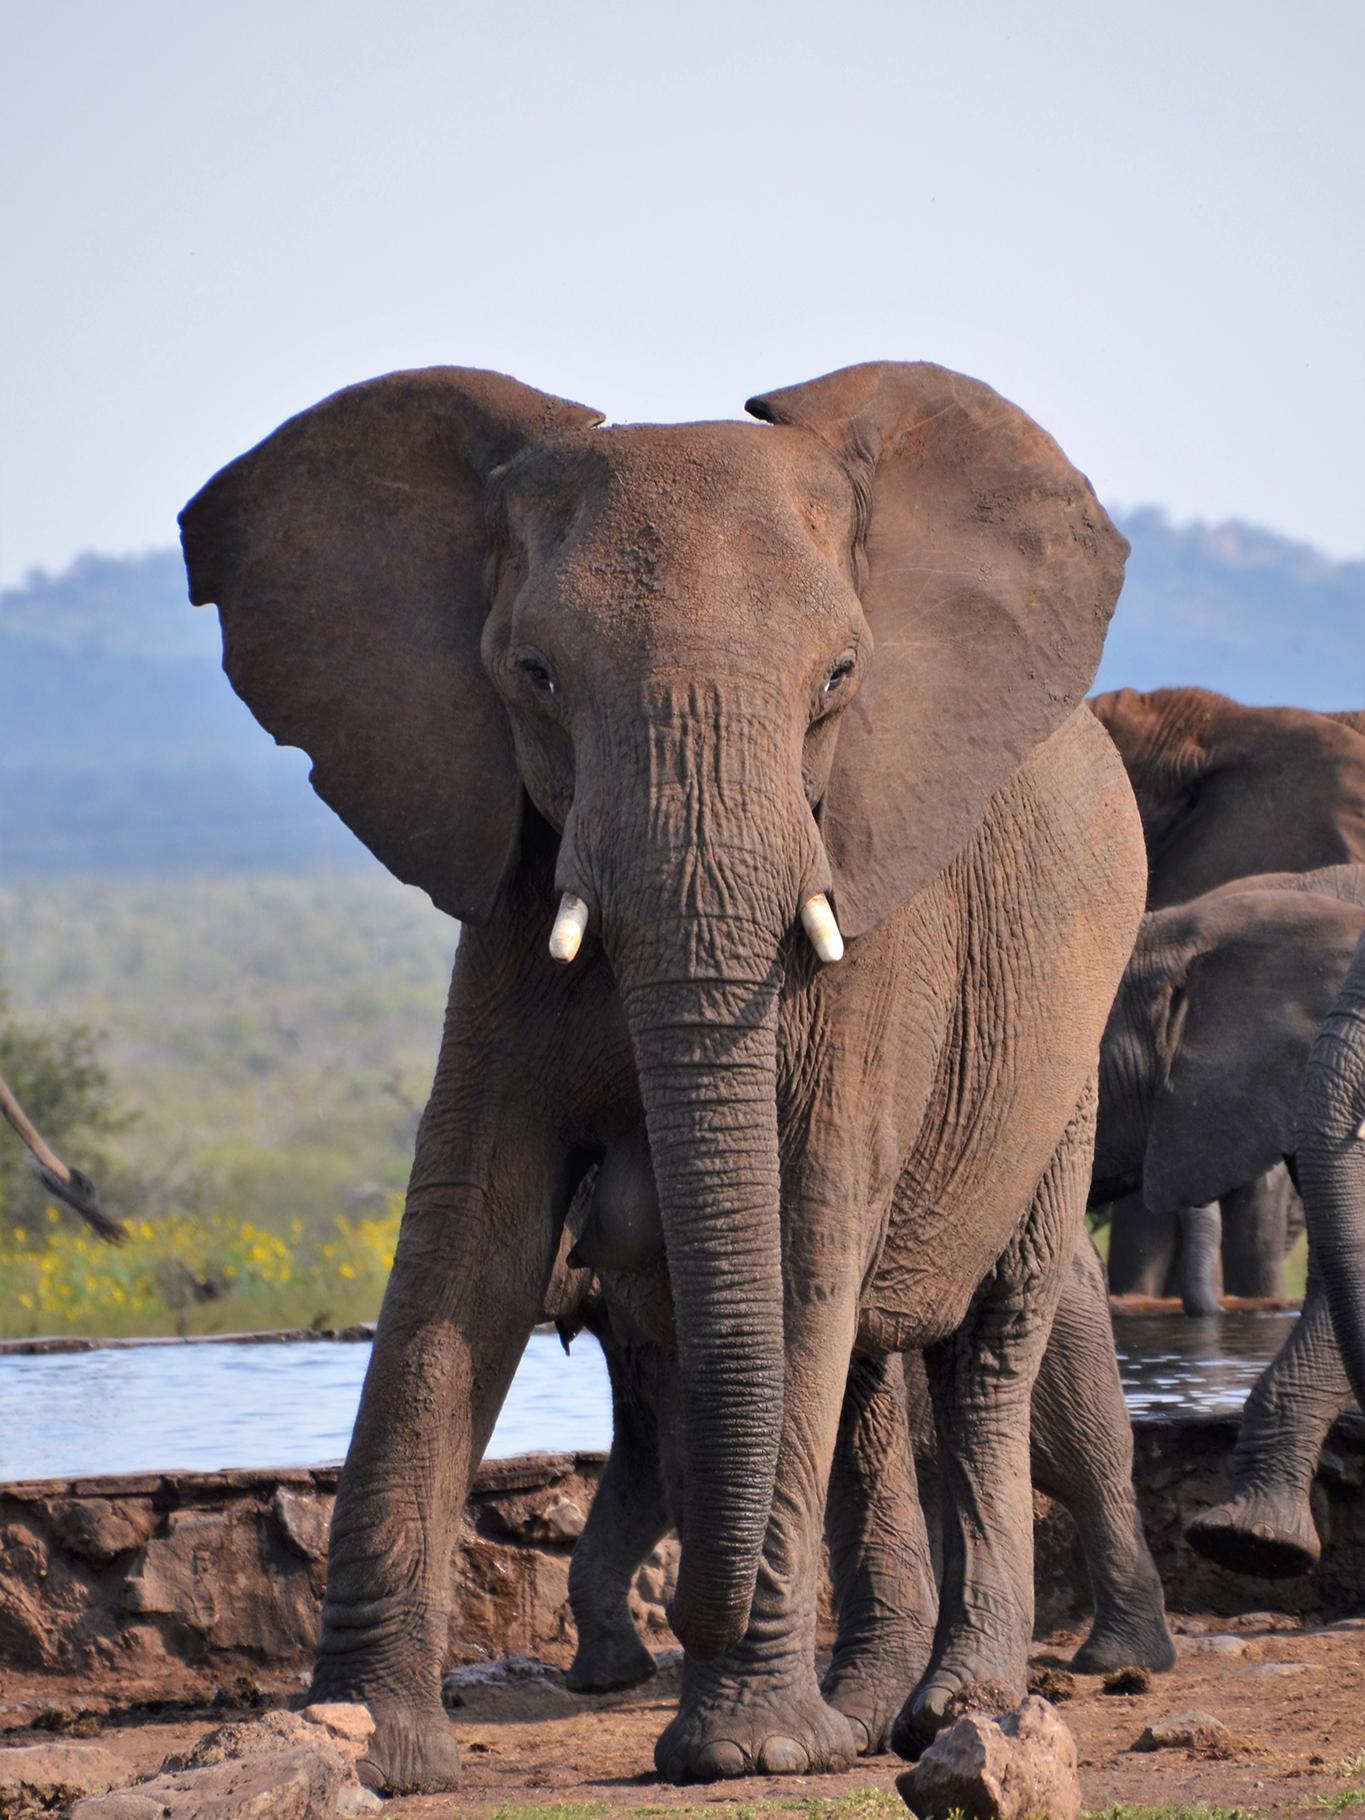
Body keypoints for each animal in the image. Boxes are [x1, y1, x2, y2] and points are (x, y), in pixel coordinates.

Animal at [180, 359, 1145, 1791]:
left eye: (841, 676)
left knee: (985, 1343)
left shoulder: (876, 909)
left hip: (1063, 1050)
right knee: (864, 1370)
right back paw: (862, 1716)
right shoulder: (509, 887)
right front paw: (366, 1747)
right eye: (533, 673)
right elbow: (468, 1228)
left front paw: (744, 1752)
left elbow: (801, 1225)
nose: (699, 1604)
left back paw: (944, 1708)